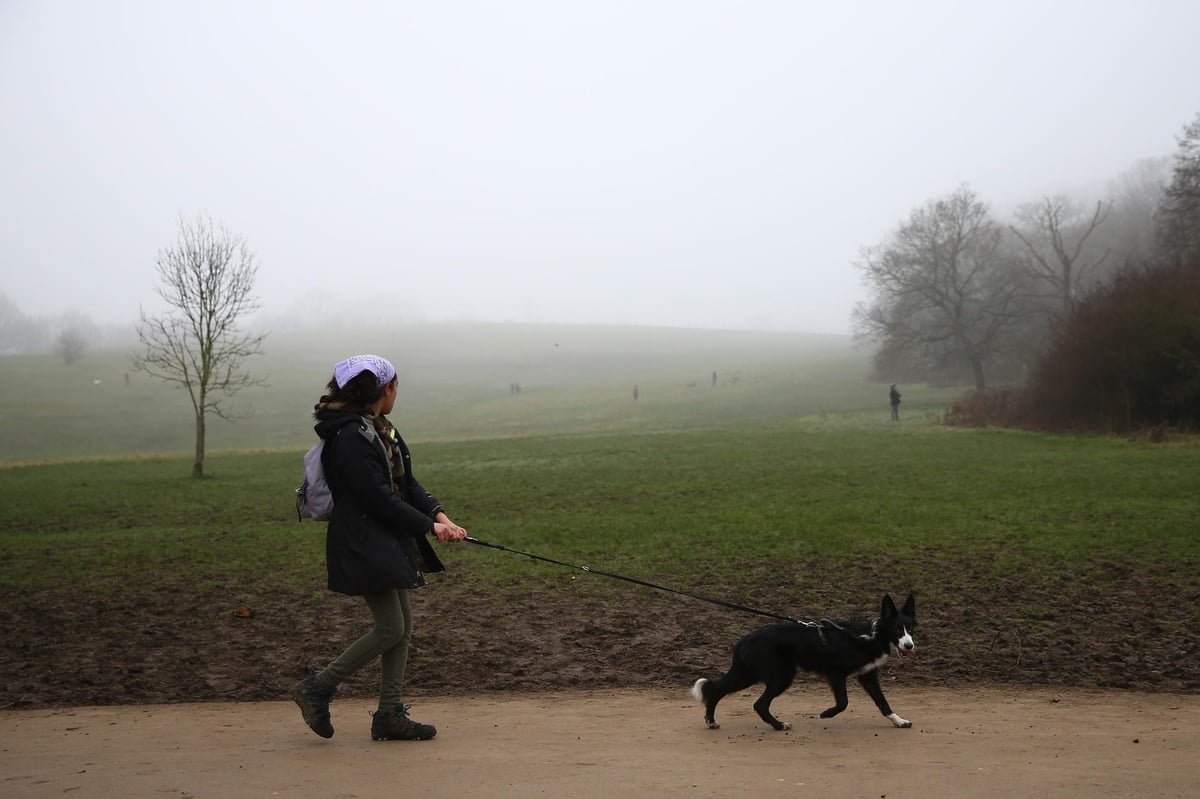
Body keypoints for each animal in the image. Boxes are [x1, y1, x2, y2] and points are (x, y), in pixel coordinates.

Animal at [691, 590, 912, 729]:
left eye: (911, 628)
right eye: (897, 629)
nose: (910, 646)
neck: (871, 637)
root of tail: (745, 639)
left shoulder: (868, 676)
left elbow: (883, 702)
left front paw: (899, 721)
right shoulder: (835, 673)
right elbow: (843, 702)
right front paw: (826, 713)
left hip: (748, 673)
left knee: (718, 688)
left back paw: (711, 721)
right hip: (780, 676)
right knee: (758, 704)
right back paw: (779, 726)